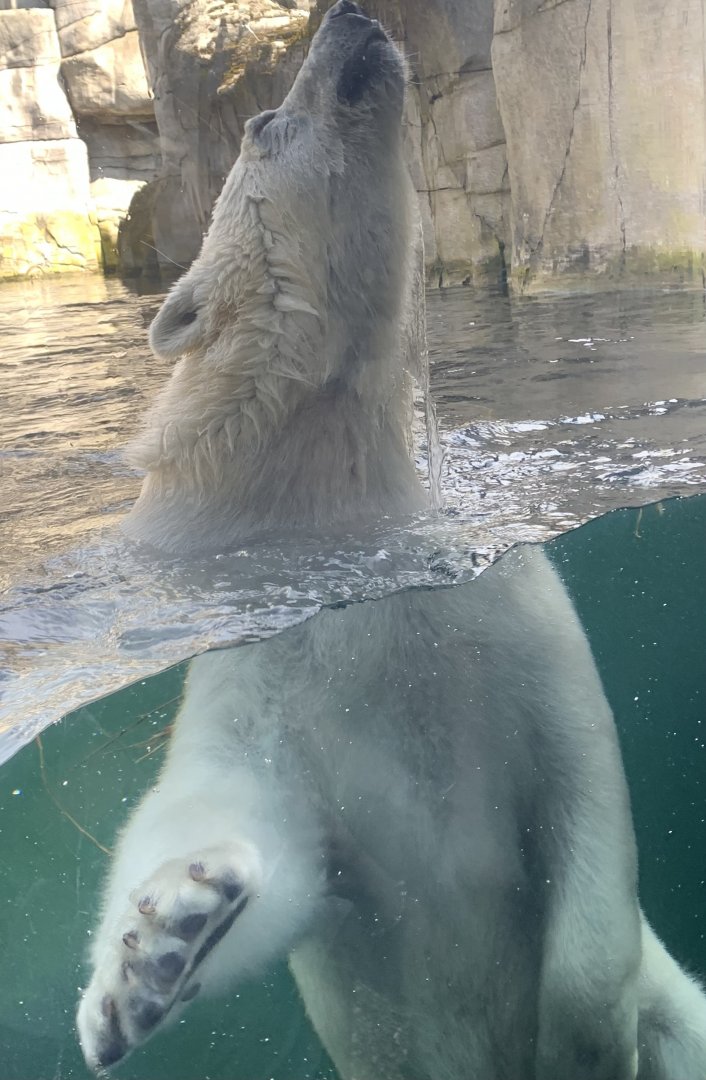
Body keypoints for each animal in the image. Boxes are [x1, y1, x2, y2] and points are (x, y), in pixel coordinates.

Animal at [76, 3, 706, 1078]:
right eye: (263, 125)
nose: (350, 18)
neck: (326, 523)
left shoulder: (508, 612)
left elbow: (583, 801)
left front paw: (579, 1040)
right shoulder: (263, 667)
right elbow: (253, 813)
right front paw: (155, 947)